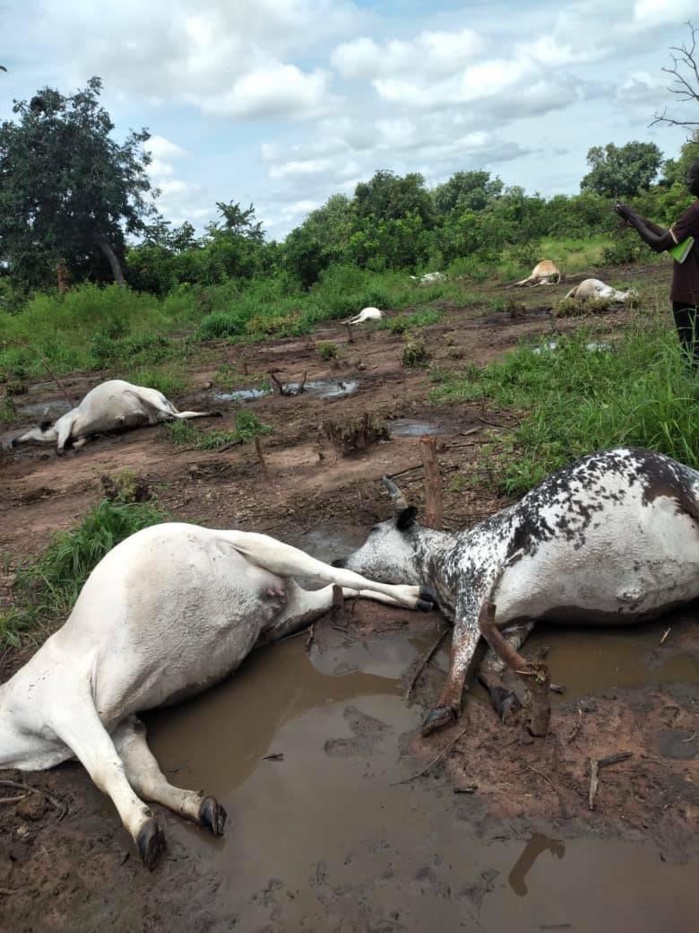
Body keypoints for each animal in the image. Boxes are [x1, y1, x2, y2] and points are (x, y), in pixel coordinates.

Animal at [0, 524, 434, 868]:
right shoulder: (121, 724)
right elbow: (146, 775)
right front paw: (197, 809)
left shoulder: (68, 705)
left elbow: (106, 771)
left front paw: (142, 829)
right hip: (290, 613)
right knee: (334, 593)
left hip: (266, 547)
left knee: (337, 572)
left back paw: (418, 595)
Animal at [8, 376, 216, 454]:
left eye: (33, 428)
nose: (13, 441)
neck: (52, 432)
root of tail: (163, 397)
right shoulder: (80, 433)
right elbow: (79, 441)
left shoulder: (66, 423)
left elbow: (61, 446)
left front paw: (63, 448)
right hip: (156, 413)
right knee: (174, 416)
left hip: (149, 398)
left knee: (179, 416)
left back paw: (212, 412)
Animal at [334, 444, 699, 736]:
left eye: (373, 529)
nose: (338, 559)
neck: (440, 560)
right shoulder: (516, 623)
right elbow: (490, 667)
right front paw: (505, 698)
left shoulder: (476, 582)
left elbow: (460, 649)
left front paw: (444, 706)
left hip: (689, 489)